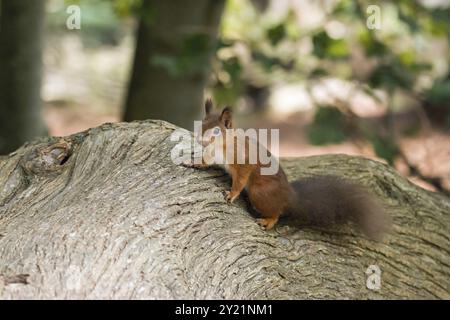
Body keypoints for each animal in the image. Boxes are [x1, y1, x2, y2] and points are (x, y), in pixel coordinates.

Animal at [183, 99, 390, 239]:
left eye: (217, 131)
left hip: (260, 192)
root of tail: (290, 197)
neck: (221, 146)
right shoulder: (212, 154)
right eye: (201, 124)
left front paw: (231, 194)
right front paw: (193, 162)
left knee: (277, 212)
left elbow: (240, 179)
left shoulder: (244, 161)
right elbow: (206, 161)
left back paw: (268, 220)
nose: (200, 139)